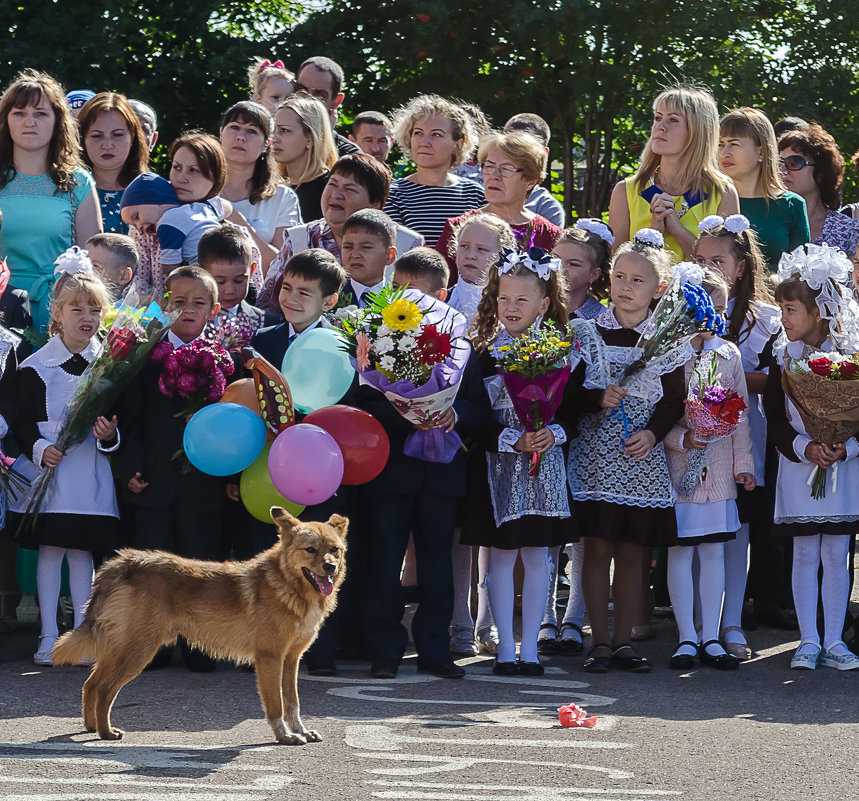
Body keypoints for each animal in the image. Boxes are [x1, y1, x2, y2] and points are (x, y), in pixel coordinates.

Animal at [50, 506, 344, 744]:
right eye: (310, 549)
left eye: (335, 550)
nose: (330, 567)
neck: (286, 583)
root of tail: (125, 561)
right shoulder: (270, 658)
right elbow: (276, 705)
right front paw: (285, 736)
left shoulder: (291, 659)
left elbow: (293, 702)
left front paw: (301, 731)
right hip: (138, 652)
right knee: (104, 689)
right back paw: (106, 732)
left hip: (120, 648)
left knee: (91, 684)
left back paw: (91, 727)